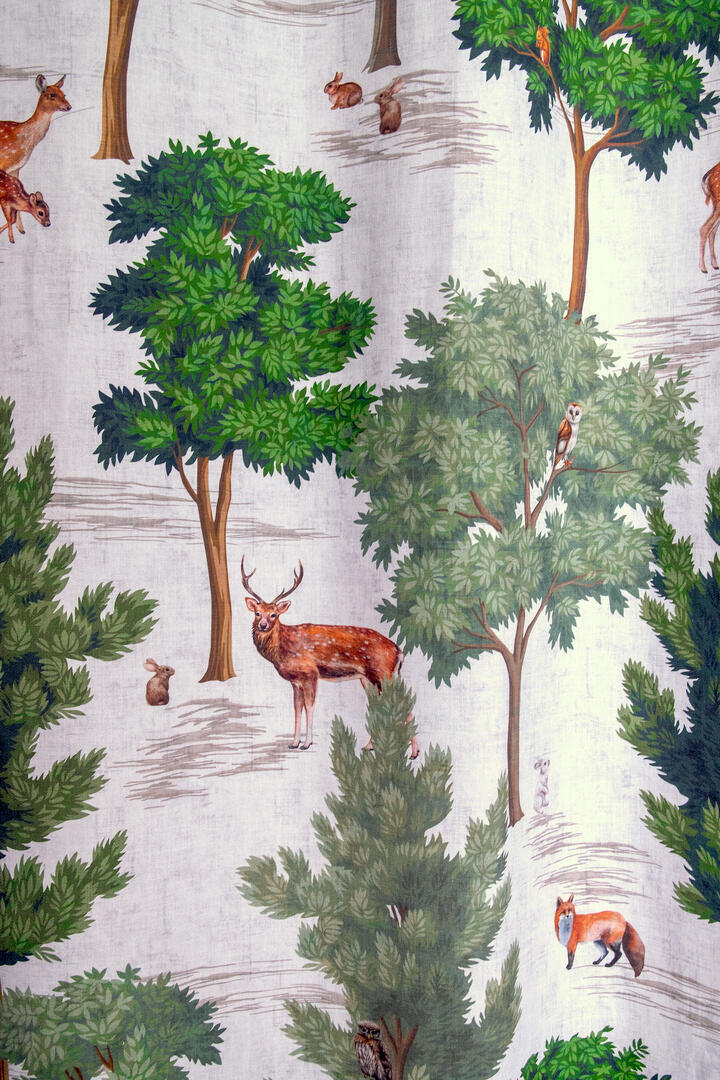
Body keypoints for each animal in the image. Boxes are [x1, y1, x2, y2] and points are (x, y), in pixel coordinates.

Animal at [241, 557, 419, 757]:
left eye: (274, 614)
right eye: (257, 613)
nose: (263, 625)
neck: (283, 650)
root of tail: (399, 651)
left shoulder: (310, 673)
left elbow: (309, 707)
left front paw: (306, 743)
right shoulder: (295, 681)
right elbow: (297, 709)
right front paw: (293, 743)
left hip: (384, 673)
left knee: (402, 703)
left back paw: (413, 752)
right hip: (369, 678)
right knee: (379, 704)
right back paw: (369, 746)